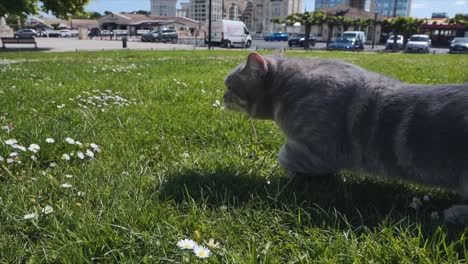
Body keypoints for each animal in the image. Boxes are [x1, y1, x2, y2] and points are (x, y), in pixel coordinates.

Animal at [222, 51, 468, 223]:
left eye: (230, 86)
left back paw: (455, 213)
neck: (286, 88)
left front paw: (301, 176)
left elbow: (285, 156)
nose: (222, 96)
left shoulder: (318, 148)